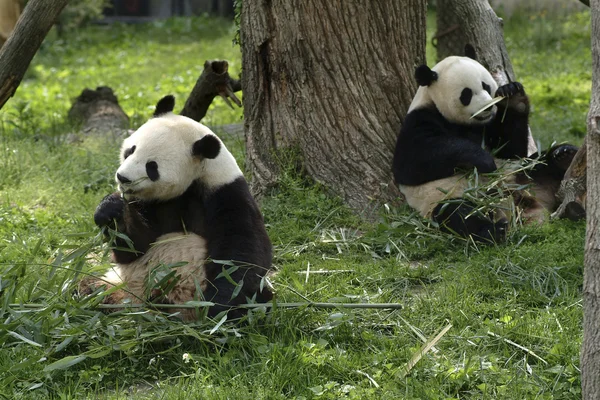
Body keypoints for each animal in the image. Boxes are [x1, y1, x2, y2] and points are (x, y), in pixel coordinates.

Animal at [81, 94, 274, 318]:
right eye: (130, 150)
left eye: (152, 166)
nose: (123, 178)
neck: (195, 180)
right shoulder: (151, 203)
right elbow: (134, 247)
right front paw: (110, 209)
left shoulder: (226, 194)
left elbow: (241, 254)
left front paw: (218, 307)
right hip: (118, 283)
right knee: (88, 285)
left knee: (260, 299)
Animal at [392, 54, 580, 242]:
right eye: (466, 94)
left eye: (486, 86)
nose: (488, 107)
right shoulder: (419, 120)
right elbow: (411, 163)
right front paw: (483, 161)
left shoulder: (489, 127)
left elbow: (511, 150)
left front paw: (513, 97)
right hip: (449, 196)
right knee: (458, 214)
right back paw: (495, 231)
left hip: (519, 175)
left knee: (538, 164)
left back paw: (564, 155)